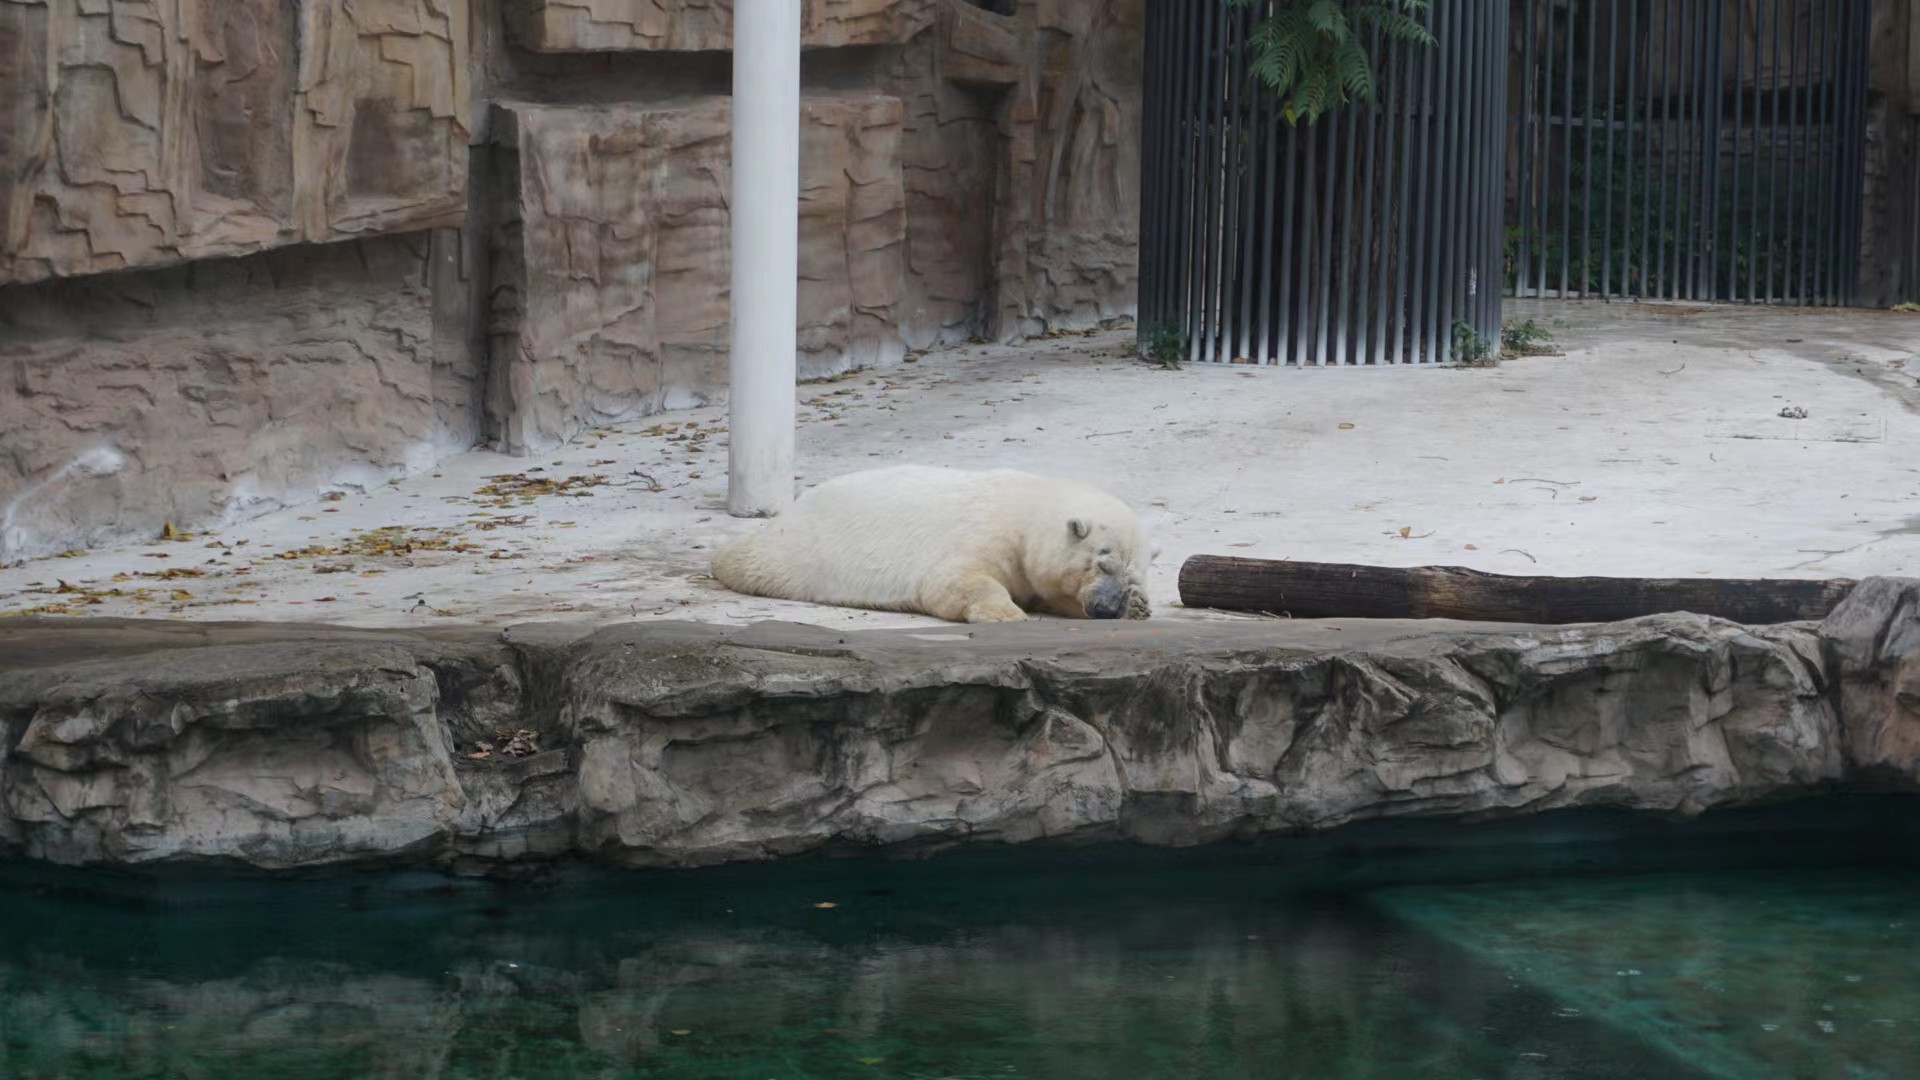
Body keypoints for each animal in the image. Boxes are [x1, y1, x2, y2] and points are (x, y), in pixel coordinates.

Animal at [710, 465, 1154, 624]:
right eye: (1103, 563)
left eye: (1133, 576)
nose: (1107, 609)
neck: (1029, 514)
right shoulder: (987, 535)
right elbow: (952, 582)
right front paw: (1005, 613)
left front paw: (1138, 607)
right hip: (800, 550)